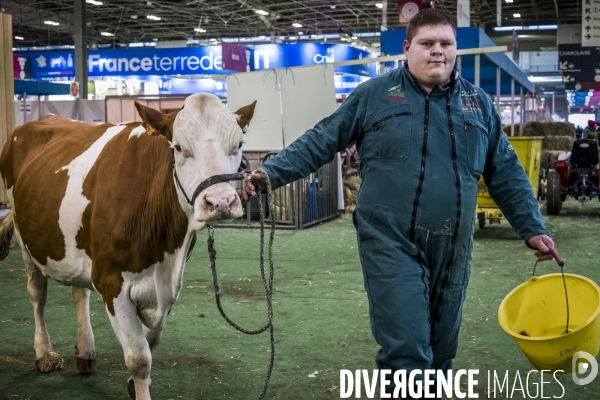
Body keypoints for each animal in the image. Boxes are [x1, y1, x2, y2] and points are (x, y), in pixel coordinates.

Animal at [0, 92, 255, 398]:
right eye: (178, 147)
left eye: (239, 145)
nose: (220, 202)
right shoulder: (111, 282)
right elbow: (139, 358)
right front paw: (138, 383)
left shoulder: (166, 285)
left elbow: (152, 339)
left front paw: (133, 384)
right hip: (25, 235)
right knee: (37, 294)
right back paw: (44, 354)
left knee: (79, 292)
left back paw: (85, 351)